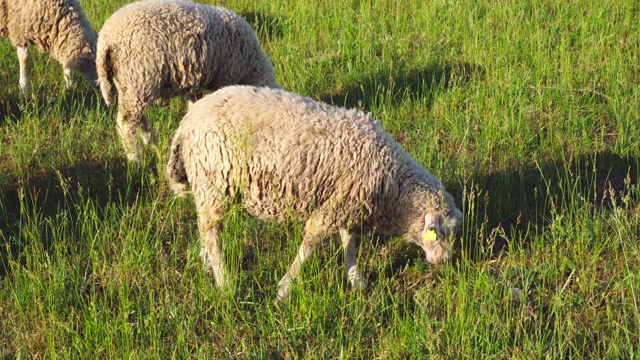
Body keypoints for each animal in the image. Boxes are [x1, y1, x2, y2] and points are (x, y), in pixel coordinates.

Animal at [97, 0, 280, 162]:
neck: (252, 70)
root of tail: (105, 39)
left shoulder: (196, 84)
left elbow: (195, 105)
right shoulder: (226, 76)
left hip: (129, 83)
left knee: (137, 117)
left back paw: (153, 143)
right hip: (139, 76)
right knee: (127, 121)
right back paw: (135, 158)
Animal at [168, 86, 462, 302]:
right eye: (441, 233)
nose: (444, 263)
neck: (394, 187)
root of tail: (186, 123)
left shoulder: (347, 204)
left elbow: (349, 243)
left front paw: (356, 281)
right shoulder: (331, 208)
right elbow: (309, 246)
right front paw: (284, 290)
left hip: (207, 186)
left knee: (205, 227)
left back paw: (207, 263)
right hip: (213, 182)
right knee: (211, 233)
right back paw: (225, 281)